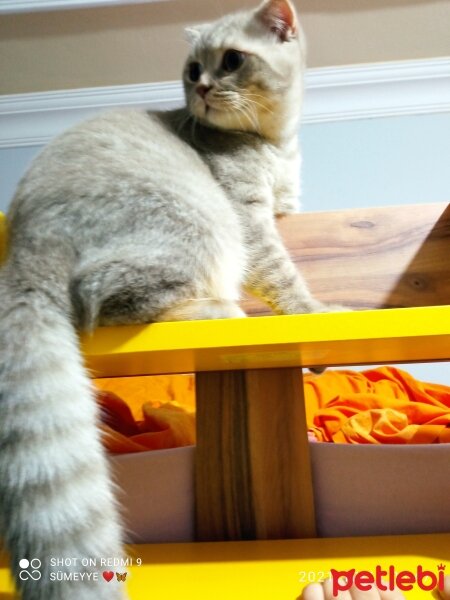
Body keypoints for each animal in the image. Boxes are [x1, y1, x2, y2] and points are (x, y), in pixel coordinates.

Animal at [0, 1, 342, 600]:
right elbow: (285, 277)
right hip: (199, 224)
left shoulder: (283, 209)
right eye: (192, 69)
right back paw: (217, 307)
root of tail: (28, 244)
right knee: (108, 298)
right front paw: (313, 311)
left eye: (231, 61)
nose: (201, 87)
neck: (276, 143)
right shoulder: (251, 222)